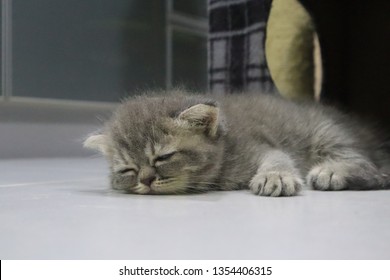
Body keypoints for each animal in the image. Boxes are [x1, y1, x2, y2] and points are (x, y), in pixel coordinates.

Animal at [83, 91, 390, 196]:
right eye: (127, 170)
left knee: (369, 167)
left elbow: (278, 157)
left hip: (326, 133)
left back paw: (332, 171)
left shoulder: (258, 145)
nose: (145, 181)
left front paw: (275, 176)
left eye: (163, 157)